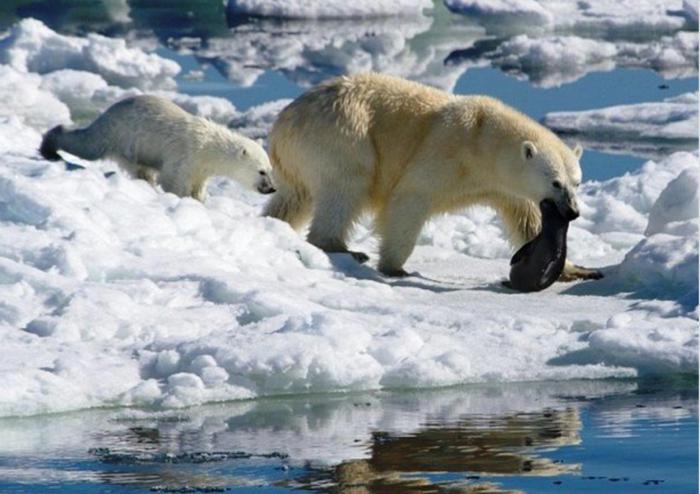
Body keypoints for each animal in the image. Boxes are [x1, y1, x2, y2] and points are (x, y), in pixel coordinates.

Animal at [268, 74, 600, 282]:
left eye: (577, 182)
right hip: (344, 136)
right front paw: (395, 267)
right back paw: (343, 248)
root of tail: (283, 123)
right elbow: (409, 199)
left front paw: (578, 269)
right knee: (345, 187)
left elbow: (524, 216)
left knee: (293, 198)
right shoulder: (445, 152)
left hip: (296, 162)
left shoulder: (503, 185)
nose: (573, 211)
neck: (483, 141)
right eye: (556, 182)